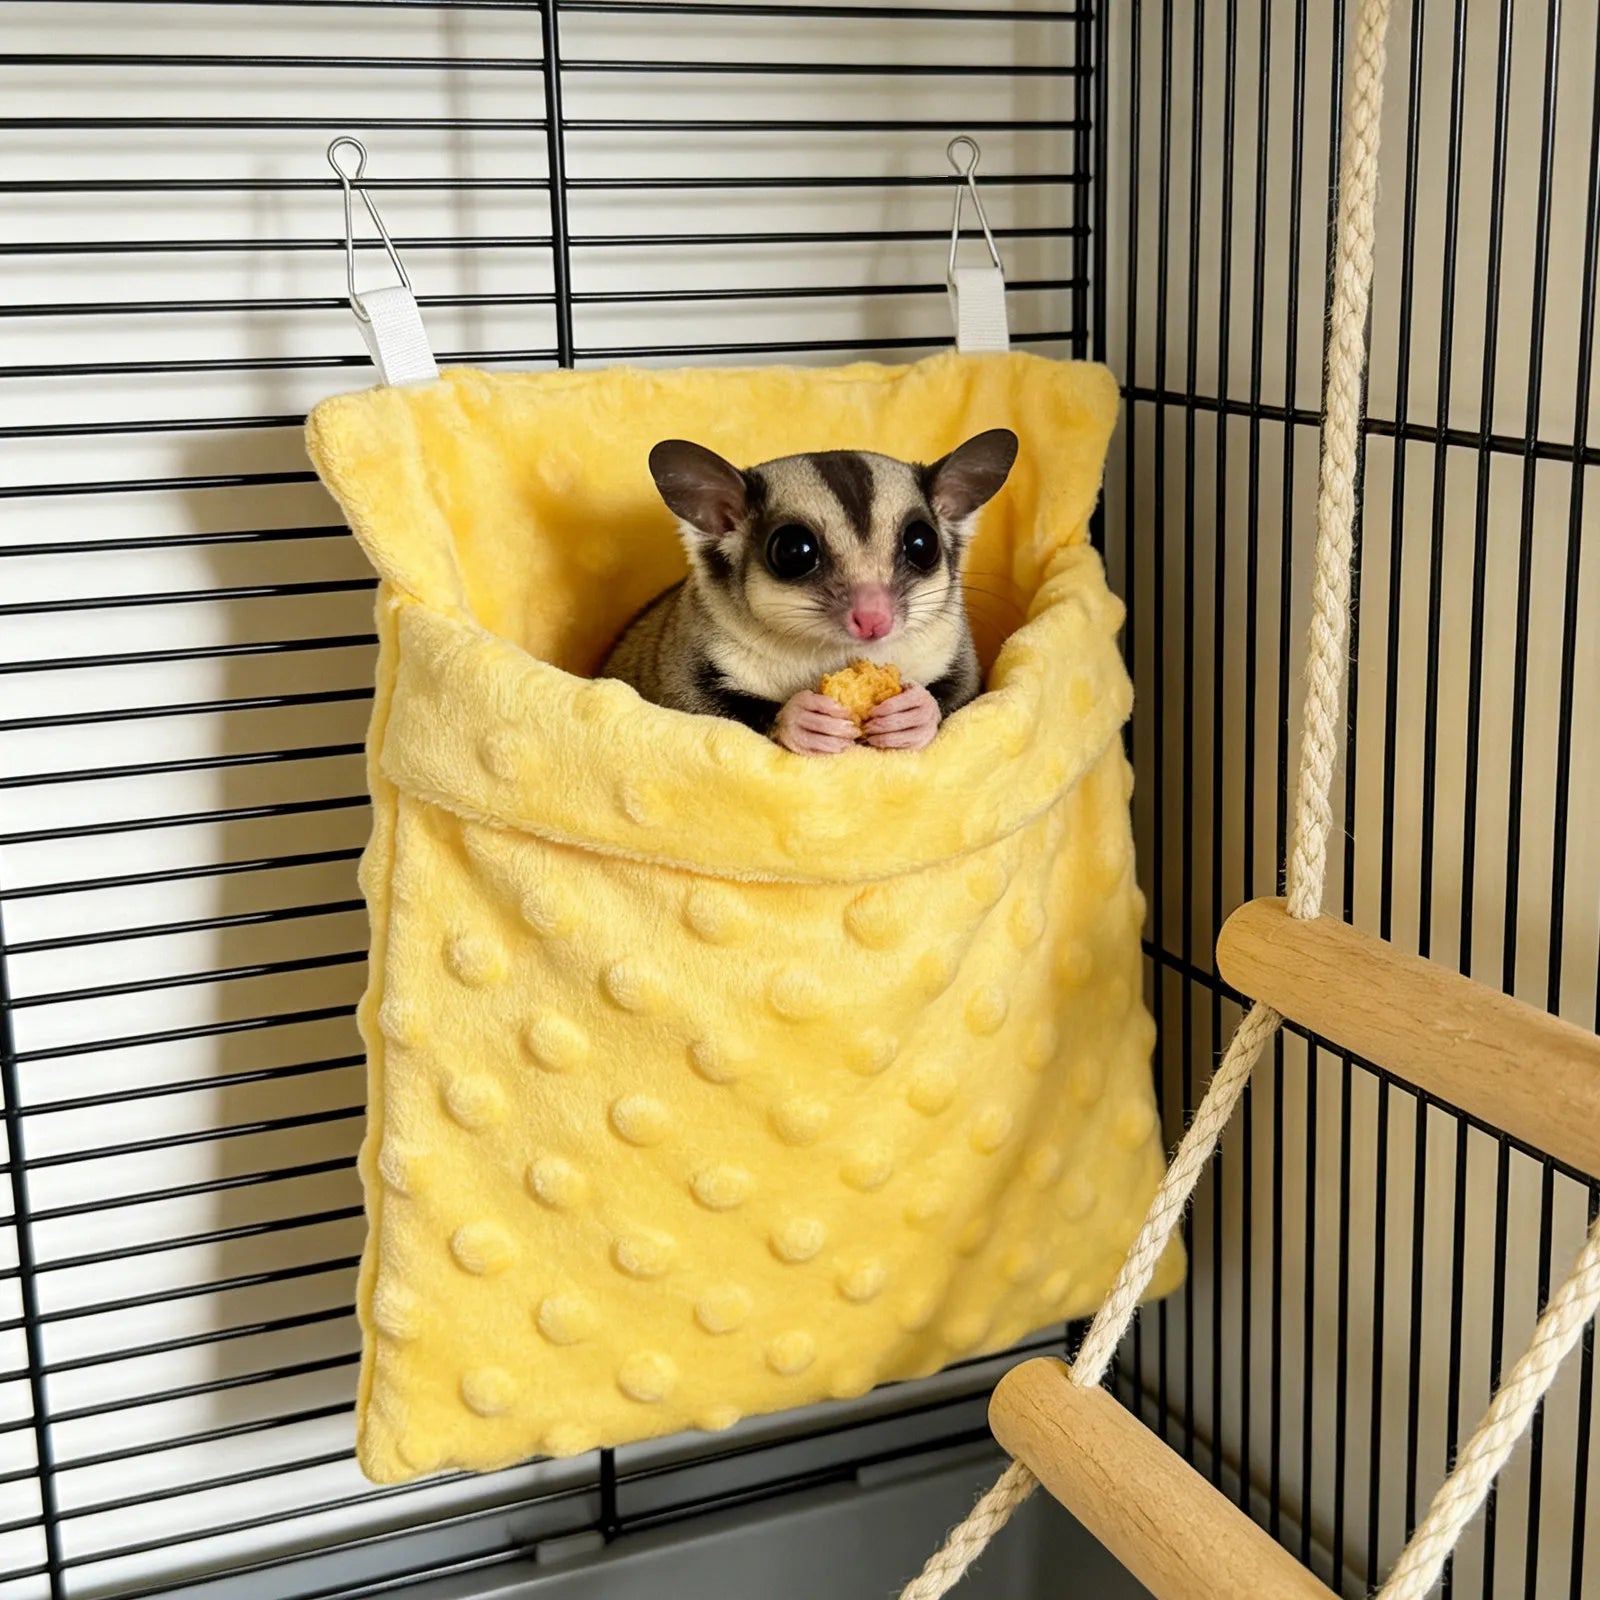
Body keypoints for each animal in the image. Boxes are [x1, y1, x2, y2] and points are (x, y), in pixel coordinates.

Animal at [600, 430, 1017, 754]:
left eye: (922, 544)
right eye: (792, 551)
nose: (874, 618)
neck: (831, 653)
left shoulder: (956, 652)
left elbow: (966, 691)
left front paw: (916, 712)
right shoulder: (687, 658)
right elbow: (686, 703)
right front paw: (800, 719)